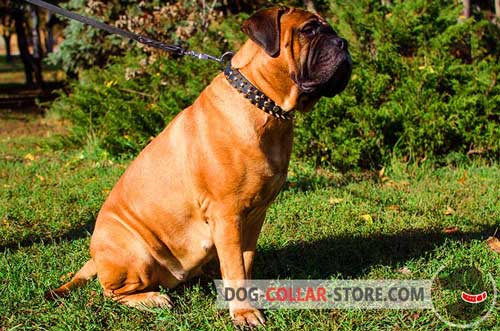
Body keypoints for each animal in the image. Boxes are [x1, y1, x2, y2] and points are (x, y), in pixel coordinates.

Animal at [47, 6, 352, 328]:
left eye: (330, 30)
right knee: (110, 292)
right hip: (136, 252)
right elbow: (235, 266)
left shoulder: (254, 216)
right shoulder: (227, 214)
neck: (265, 106)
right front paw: (243, 312)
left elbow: (244, 262)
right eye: (308, 31)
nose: (343, 43)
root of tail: (95, 256)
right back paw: (152, 298)